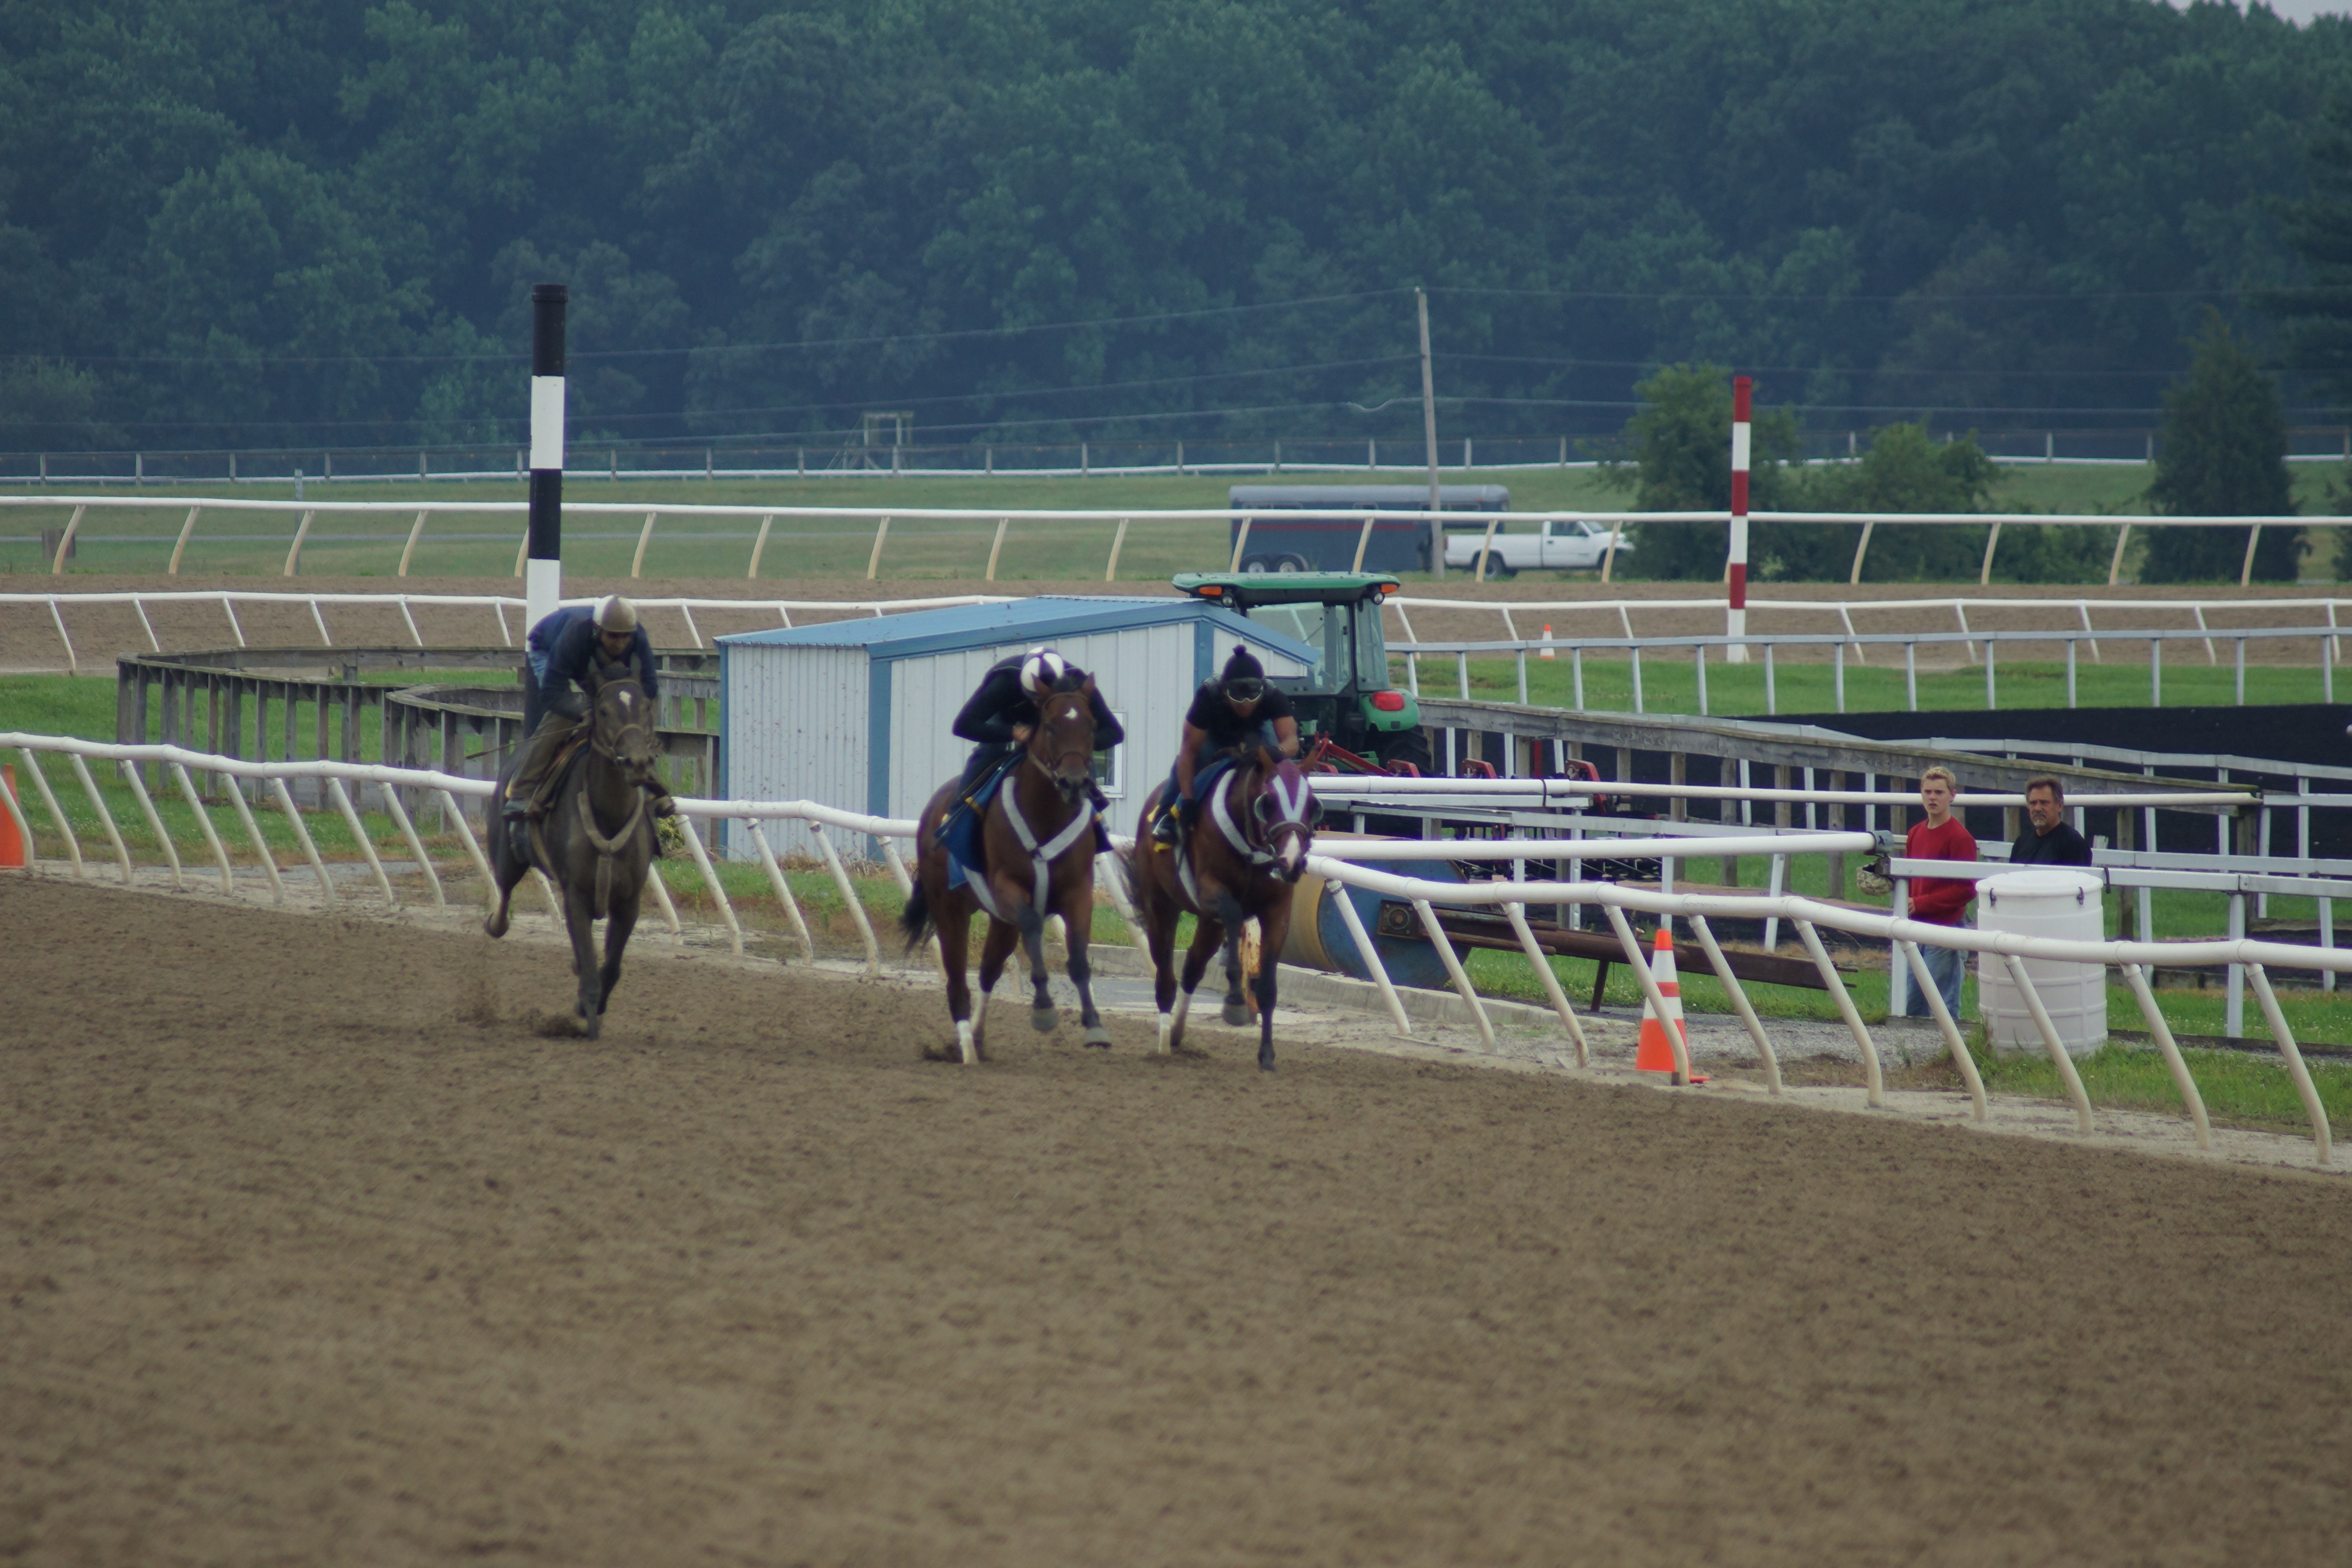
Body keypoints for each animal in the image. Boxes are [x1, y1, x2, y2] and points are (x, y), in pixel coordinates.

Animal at [482, 663, 661, 1038]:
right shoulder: (576, 895)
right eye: (604, 711)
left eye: (646, 708)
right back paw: (495, 923)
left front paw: (589, 1005)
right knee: (503, 897)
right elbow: (591, 972)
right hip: (507, 857)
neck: (609, 816)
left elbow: (610, 968)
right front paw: (589, 1024)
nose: (637, 762)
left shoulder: (629, 902)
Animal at [900, 673, 1110, 1065]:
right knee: (958, 983)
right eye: (1050, 726)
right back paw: (967, 1051)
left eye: (1092, 726)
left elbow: (1077, 956)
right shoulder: (1008, 887)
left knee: (987, 972)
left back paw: (977, 1039)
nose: (1074, 783)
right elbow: (1033, 926)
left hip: (999, 920)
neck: (1046, 816)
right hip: (951, 910)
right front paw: (1043, 1007)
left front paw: (1094, 1025)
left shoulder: (1078, 891)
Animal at [1127, 742, 1321, 1072]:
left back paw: (1177, 1033)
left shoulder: (1277, 911)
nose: (1292, 862)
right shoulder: (1210, 891)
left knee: (1192, 969)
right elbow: (1232, 913)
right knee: (1166, 975)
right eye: (1268, 803)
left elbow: (1267, 987)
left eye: (1312, 806)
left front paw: (1267, 1055)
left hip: (1208, 924)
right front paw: (1235, 1002)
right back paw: (1164, 1044)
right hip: (1161, 906)